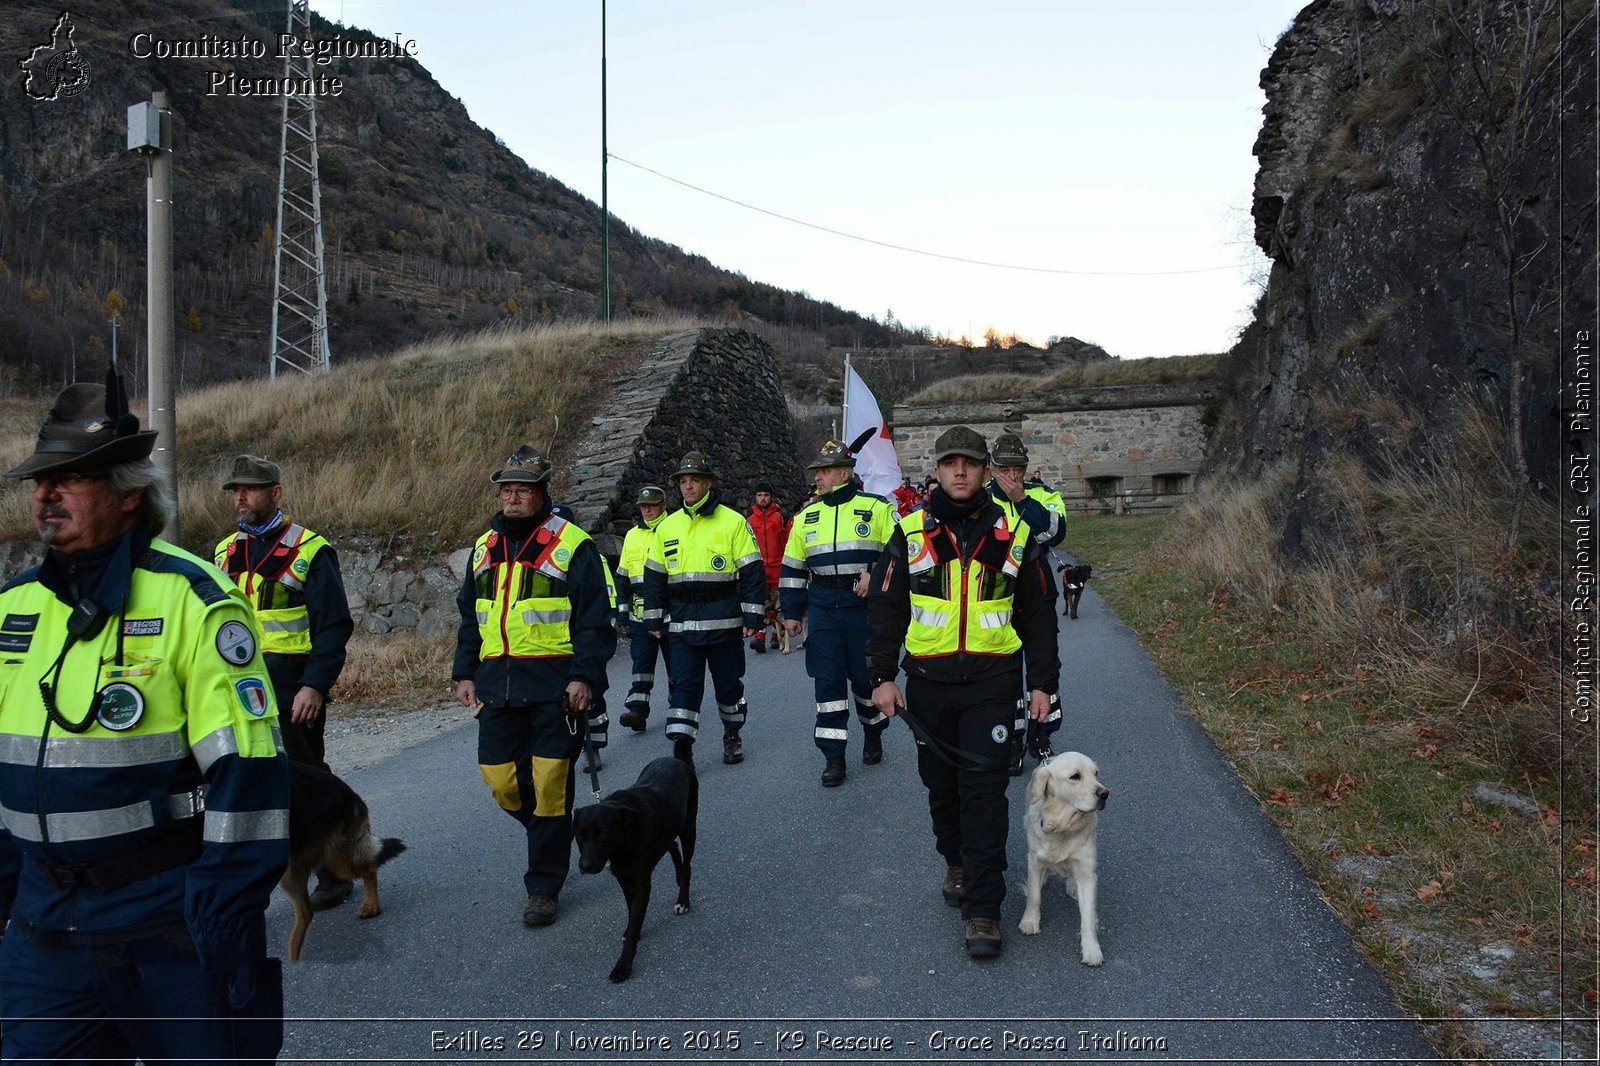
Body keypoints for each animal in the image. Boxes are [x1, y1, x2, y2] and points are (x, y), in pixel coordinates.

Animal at [576, 739, 700, 979]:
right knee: (672, 846)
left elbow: (635, 918)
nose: (584, 866)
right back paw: (678, 875)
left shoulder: (642, 884)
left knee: (687, 863)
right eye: (579, 835)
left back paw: (683, 899)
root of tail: (676, 760)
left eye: (603, 834)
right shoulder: (623, 880)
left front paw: (623, 965)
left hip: (689, 826)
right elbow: (631, 909)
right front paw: (630, 930)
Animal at [1017, 745, 1107, 960]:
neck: (1063, 827)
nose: (1105, 794)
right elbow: (1034, 896)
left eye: (1096, 773)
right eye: (1075, 776)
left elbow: (1088, 916)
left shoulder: (1086, 869)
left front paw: (1092, 949)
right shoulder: (1035, 860)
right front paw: (1030, 921)